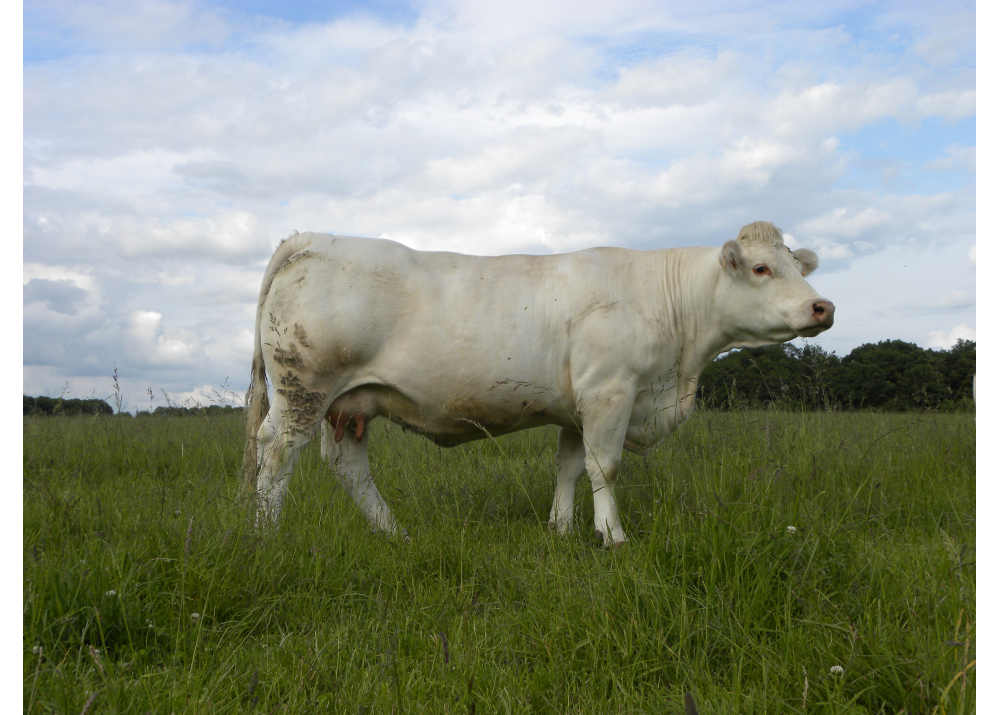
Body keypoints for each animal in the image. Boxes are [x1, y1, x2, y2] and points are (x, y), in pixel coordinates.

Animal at [244, 221, 836, 544]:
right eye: (761, 269)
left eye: (797, 266)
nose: (823, 307)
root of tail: (315, 238)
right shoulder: (611, 390)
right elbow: (605, 467)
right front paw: (613, 536)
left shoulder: (579, 406)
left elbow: (570, 466)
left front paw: (562, 528)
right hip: (303, 388)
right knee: (276, 452)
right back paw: (267, 537)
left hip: (348, 405)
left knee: (348, 466)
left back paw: (395, 532)